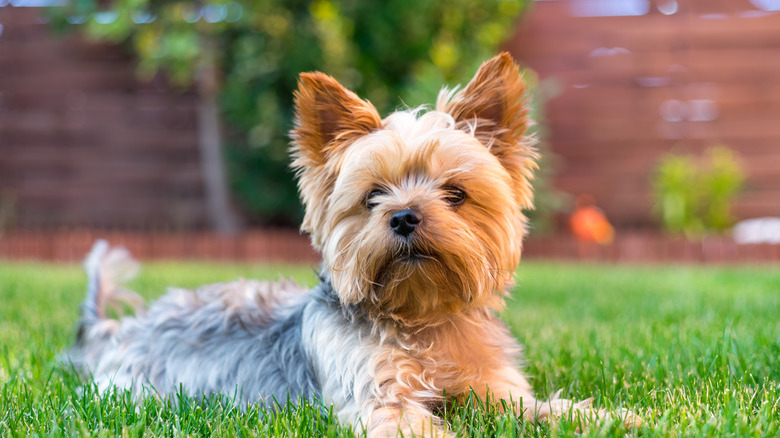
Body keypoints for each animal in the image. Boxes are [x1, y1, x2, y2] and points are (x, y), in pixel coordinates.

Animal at [67, 53, 636, 436]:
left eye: (455, 193)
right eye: (373, 196)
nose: (404, 216)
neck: (422, 319)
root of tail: (117, 330)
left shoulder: (493, 389)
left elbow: (540, 409)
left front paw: (618, 418)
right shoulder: (380, 399)